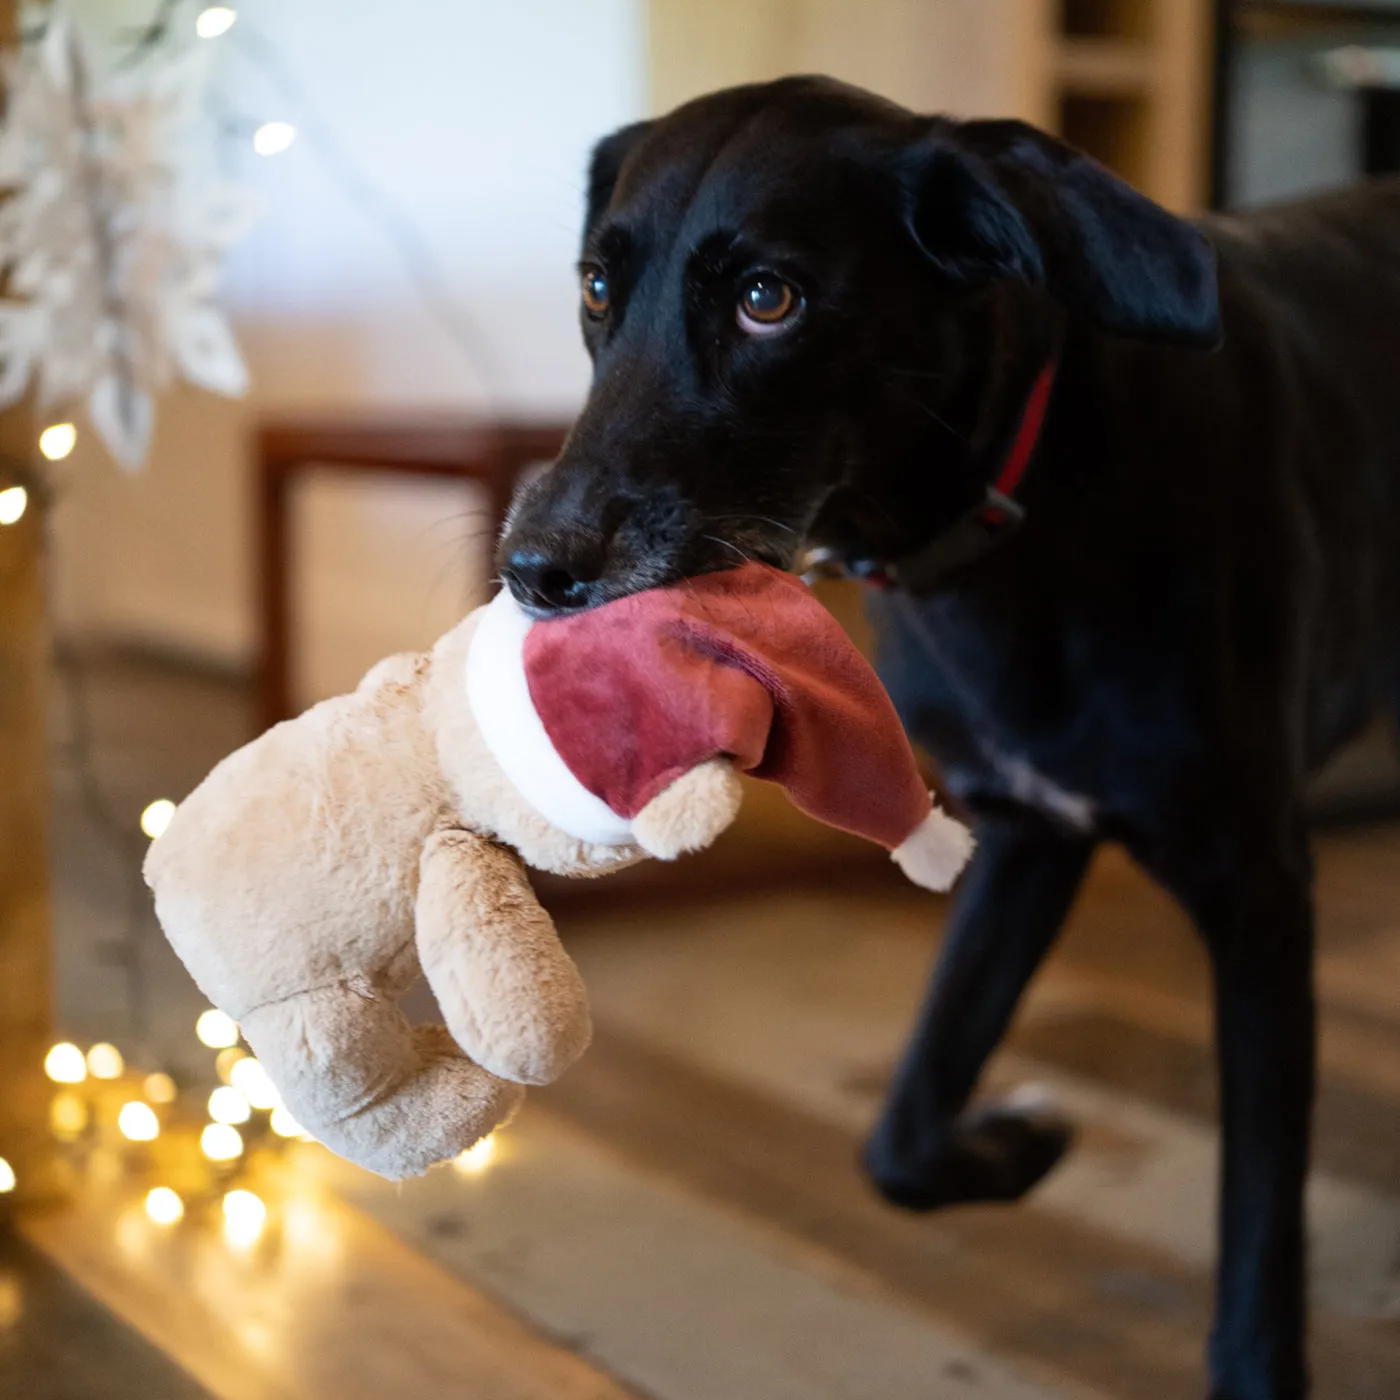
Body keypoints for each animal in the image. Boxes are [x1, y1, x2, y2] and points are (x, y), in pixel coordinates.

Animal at [495, 76, 1400, 1400]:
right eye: (597, 287)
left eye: (769, 298)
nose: (534, 569)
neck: (1022, 500)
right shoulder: (1024, 831)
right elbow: (900, 1133)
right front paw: (1015, 1144)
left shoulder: (1256, 888)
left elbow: (1257, 1208)